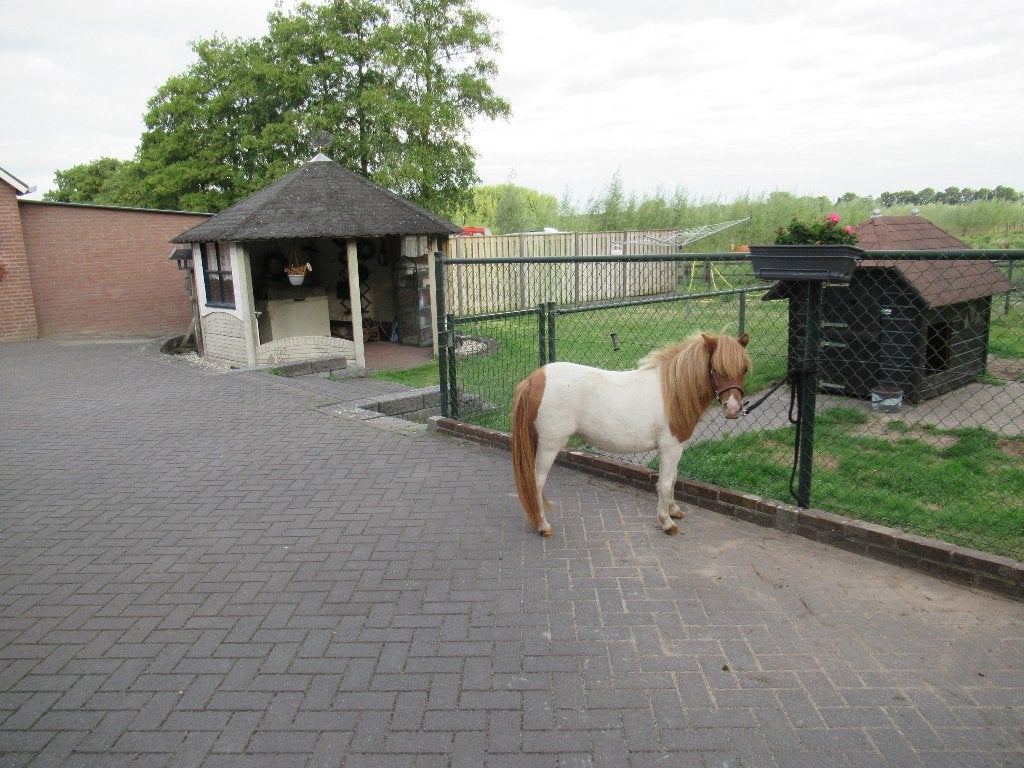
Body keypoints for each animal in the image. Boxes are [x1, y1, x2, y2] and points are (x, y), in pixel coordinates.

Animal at [511, 332, 750, 536]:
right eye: (715, 368)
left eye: (745, 369)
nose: (732, 409)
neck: (672, 391)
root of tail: (535, 378)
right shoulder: (670, 448)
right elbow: (664, 484)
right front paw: (666, 521)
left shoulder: (677, 448)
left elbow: (673, 479)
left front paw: (674, 510)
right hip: (549, 445)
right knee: (537, 481)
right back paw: (543, 525)